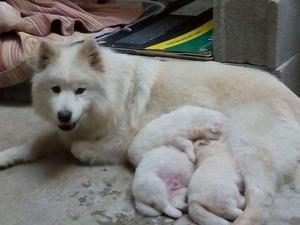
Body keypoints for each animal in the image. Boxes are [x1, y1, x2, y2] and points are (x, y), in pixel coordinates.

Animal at [0, 39, 300, 225]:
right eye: (55, 89)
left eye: (80, 91)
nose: (64, 115)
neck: (110, 93)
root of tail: (292, 97)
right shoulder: (67, 130)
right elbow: (36, 142)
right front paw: (7, 156)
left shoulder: (117, 141)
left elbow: (75, 148)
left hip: (250, 150)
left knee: (260, 201)